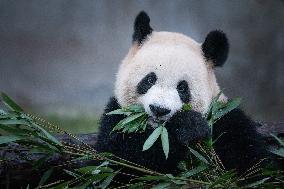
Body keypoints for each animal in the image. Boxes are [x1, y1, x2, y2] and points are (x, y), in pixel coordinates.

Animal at [95, 11, 266, 176]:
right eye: (150, 79)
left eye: (182, 88)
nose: (159, 109)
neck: (158, 131)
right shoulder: (118, 118)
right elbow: (122, 159)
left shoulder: (224, 118)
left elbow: (248, 163)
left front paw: (190, 127)